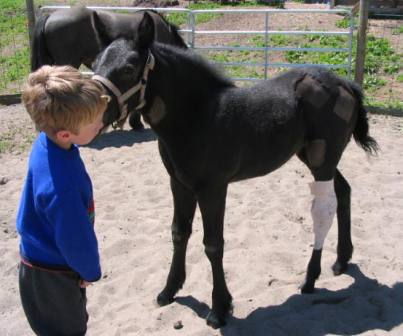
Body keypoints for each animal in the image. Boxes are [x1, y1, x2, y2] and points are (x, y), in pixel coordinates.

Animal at [91, 13, 378, 328]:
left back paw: (311, 278)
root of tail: (345, 83)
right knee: (344, 192)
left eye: (130, 68)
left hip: (322, 160)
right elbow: (179, 232)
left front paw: (219, 308)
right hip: (315, 159)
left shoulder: (213, 188)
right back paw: (341, 260)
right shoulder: (179, 183)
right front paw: (169, 290)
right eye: (95, 63)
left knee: (323, 210)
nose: (95, 110)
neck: (198, 116)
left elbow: (213, 244)